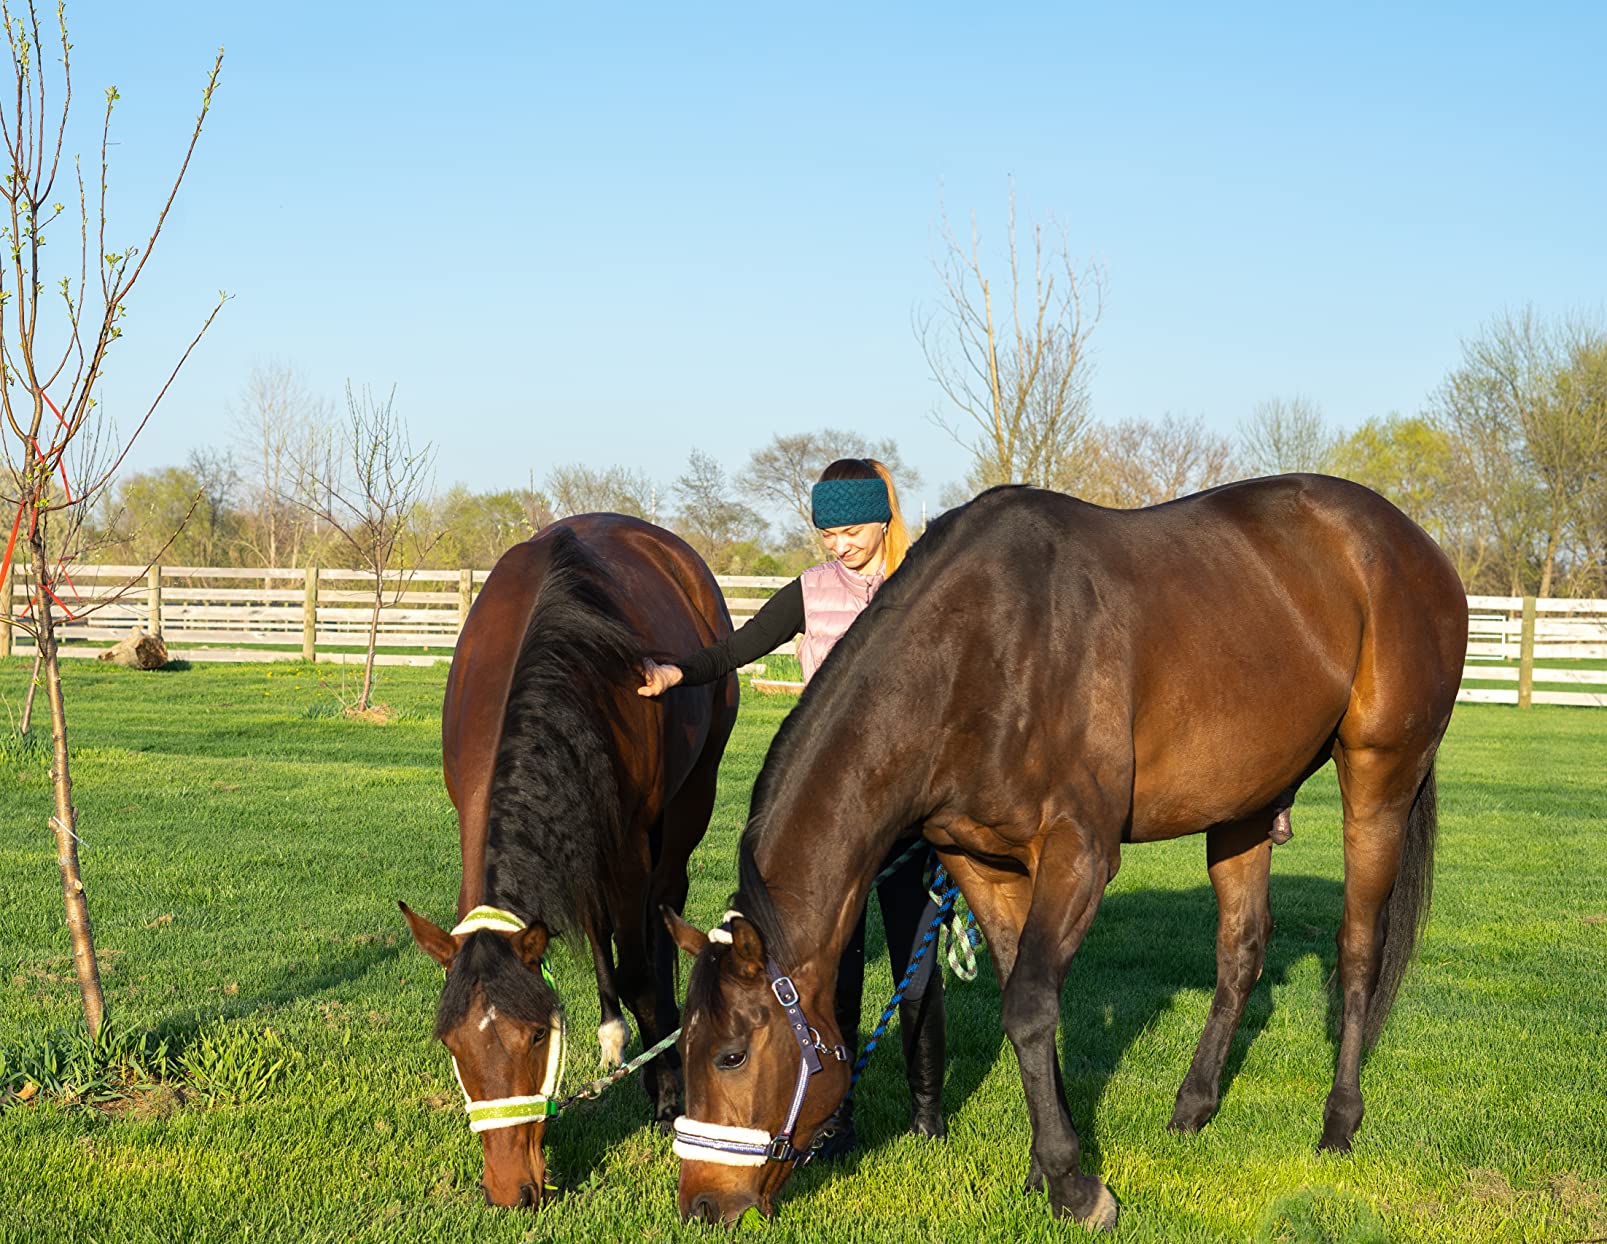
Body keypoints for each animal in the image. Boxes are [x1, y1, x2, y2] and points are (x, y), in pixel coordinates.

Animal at [400, 515, 738, 1208]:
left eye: (536, 1036)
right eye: (451, 1043)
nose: (510, 1191)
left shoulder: (631, 843)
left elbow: (641, 975)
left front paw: (668, 1094)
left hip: (687, 805)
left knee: (664, 907)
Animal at [663, 475, 1468, 1230]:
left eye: (731, 1054)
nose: (701, 1204)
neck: (980, 654)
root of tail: (1413, 543)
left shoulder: (1080, 853)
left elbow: (1027, 1003)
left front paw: (1075, 1189)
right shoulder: (978, 863)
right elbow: (1028, 1004)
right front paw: (1047, 1170)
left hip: (1378, 777)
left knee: (1359, 948)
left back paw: (1338, 1123)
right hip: (1242, 806)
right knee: (1241, 949)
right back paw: (1193, 1106)